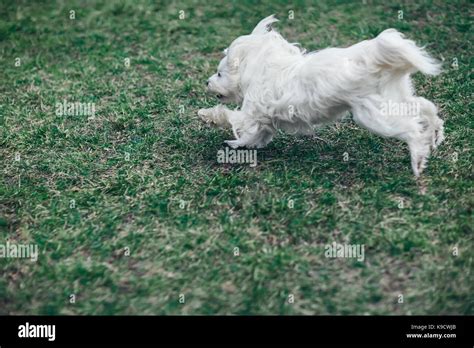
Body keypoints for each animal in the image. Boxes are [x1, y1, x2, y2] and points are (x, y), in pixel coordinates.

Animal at [198, 15, 442, 177]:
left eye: (219, 73)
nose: (207, 82)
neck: (257, 68)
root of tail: (372, 62)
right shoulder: (264, 121)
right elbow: (253, 137)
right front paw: (237, 144)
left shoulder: (251, 113)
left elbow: (229, 116)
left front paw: (206, 116)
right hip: (394, 100)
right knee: (425, 106)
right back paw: (435, 134)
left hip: (374, 116)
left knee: (411, 129)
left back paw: (418, 158)